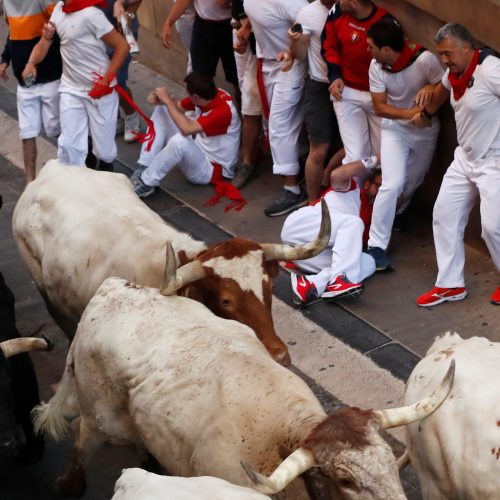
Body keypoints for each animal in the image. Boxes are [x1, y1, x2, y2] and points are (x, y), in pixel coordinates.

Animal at [33, 274, 456, 500]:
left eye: (389, 460)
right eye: (346, 481)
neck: (281, 435)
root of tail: (113, 290)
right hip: (99, 417)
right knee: (83, 444)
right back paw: (69, 484)